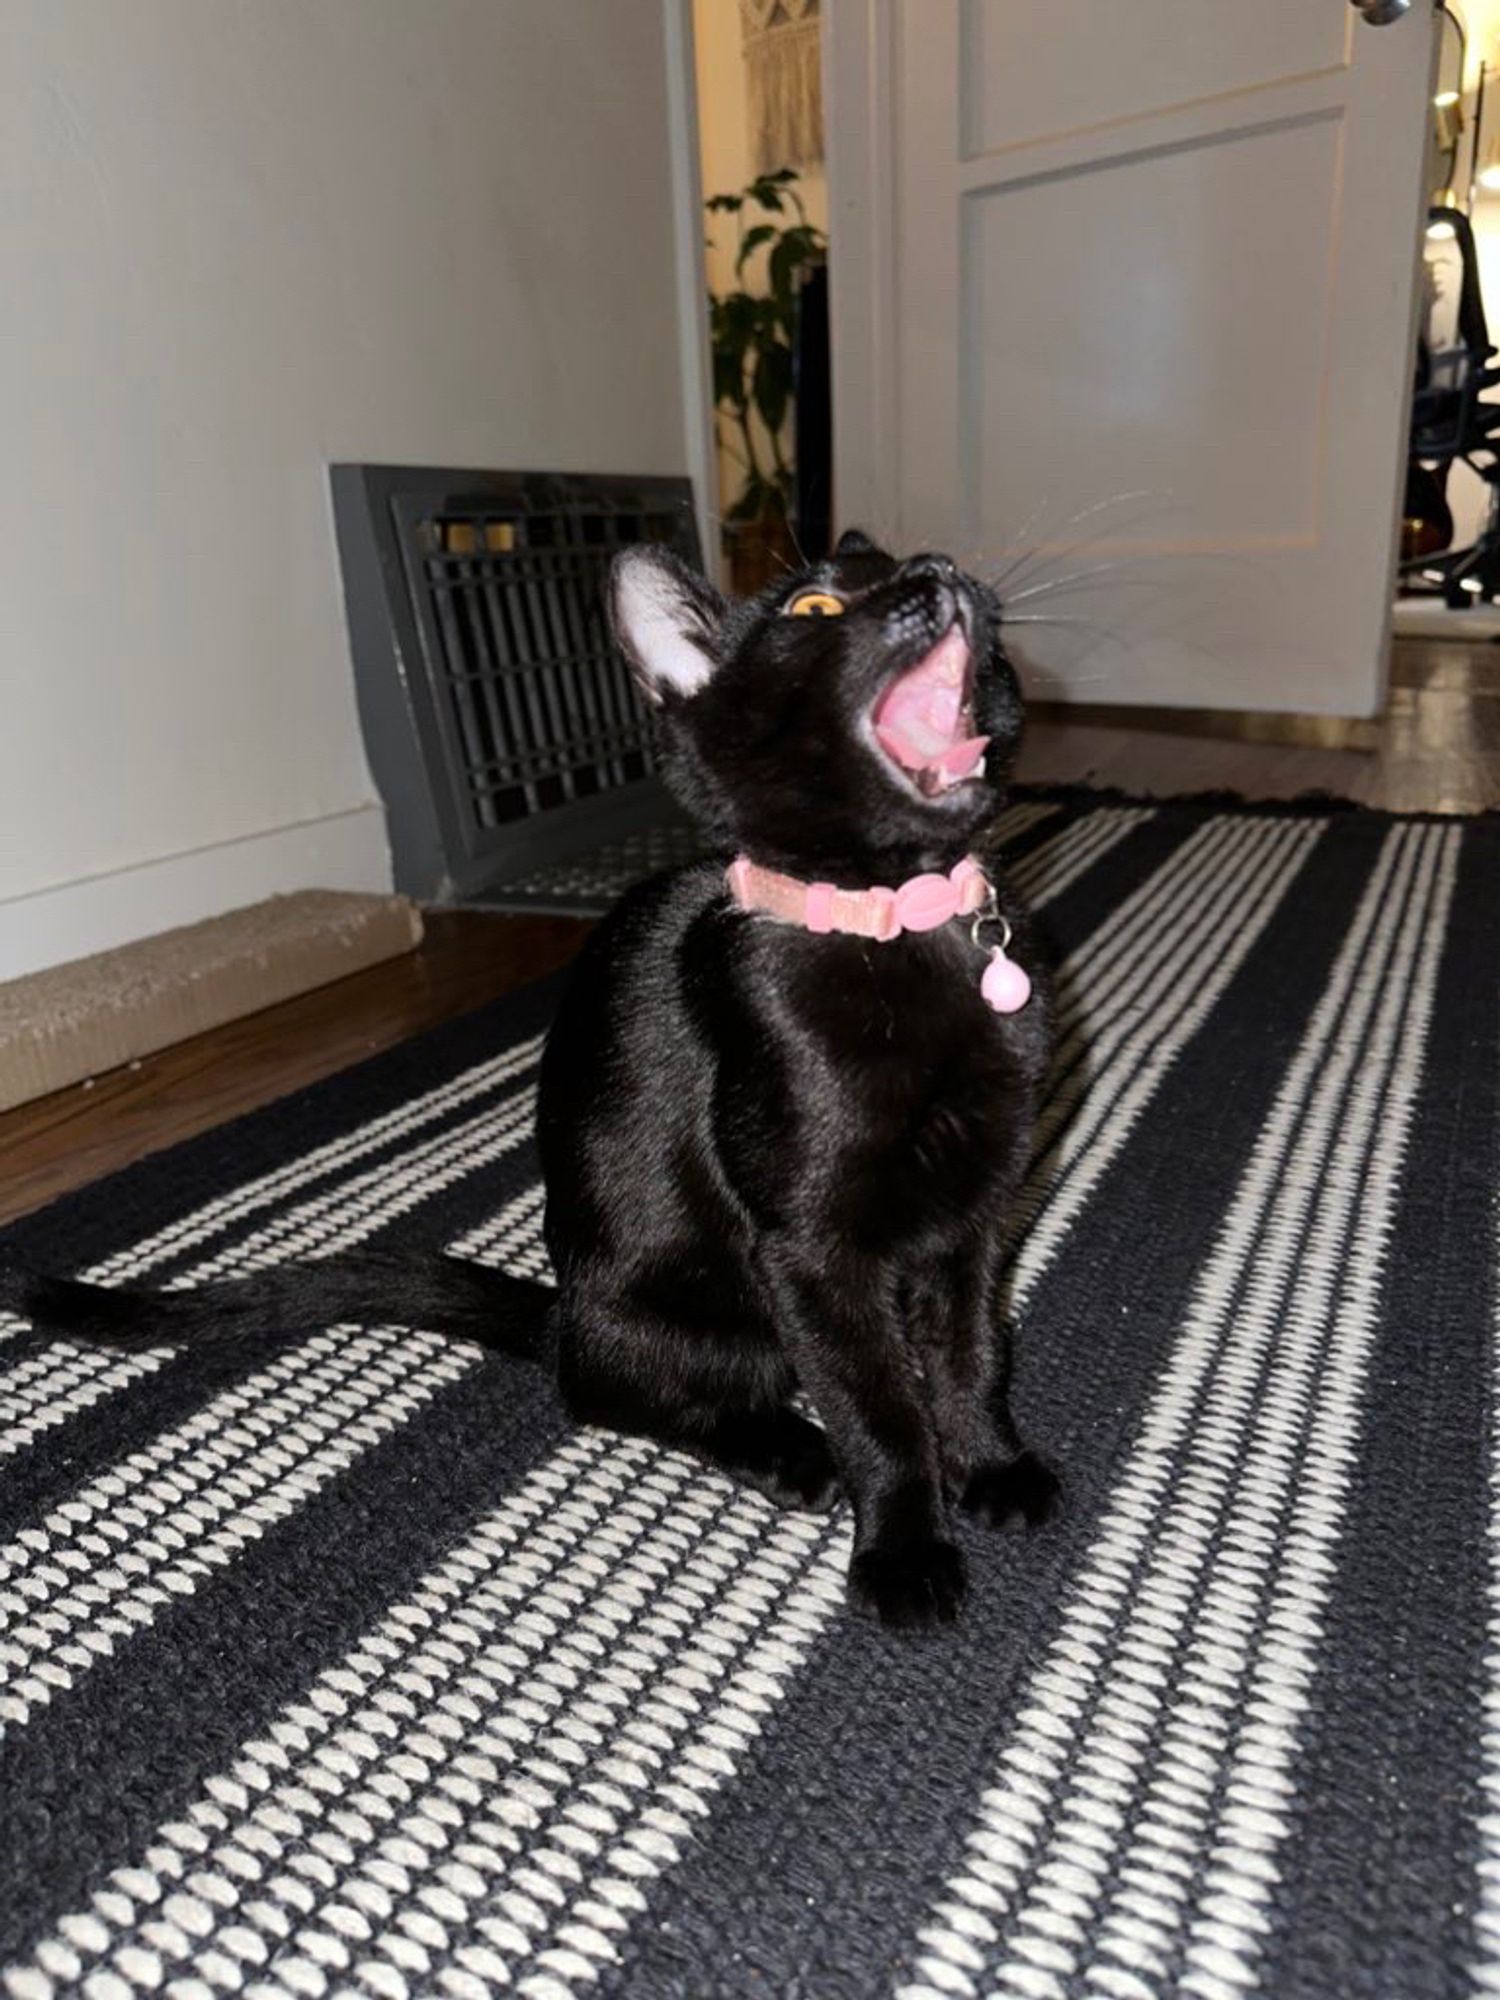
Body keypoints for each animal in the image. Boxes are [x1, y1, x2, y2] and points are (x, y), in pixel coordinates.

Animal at [14, 540, 1072, 1632]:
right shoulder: (812, 1252)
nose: (937, 569)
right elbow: (877, 1402)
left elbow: (970, 1354)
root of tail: (564, 1306)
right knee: (610, 1385)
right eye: (816, 606)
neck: (911, 925)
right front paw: (905, 1549)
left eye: (906, 560)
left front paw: (992, 1465)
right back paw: (783, 1448)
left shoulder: (976, 1209)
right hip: (703, 1315)